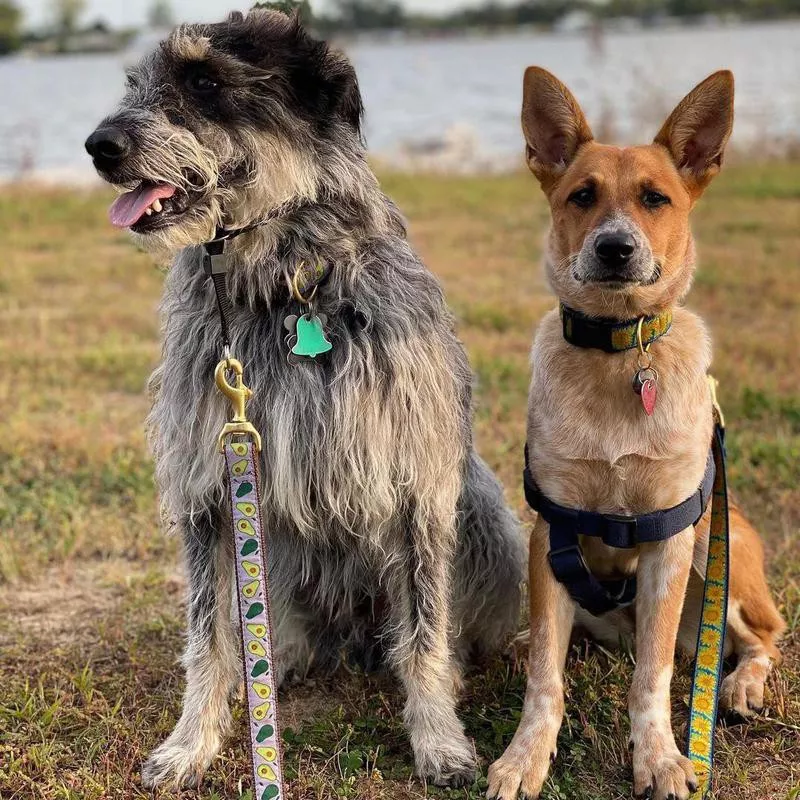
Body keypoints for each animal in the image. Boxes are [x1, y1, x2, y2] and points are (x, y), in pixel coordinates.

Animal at [86, 6, 524, 792]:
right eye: (137, 83)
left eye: (205, 82)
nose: (99, 146)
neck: (283, 286)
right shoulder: (211, 489)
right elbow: (208, 636)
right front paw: (190, 744)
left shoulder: (415, 482)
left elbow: (423, 632)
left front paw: (439, 739)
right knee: (267, 628)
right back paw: (278, 661)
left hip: (485, 514)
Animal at [488, 70, 788, 800]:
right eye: (582, 196)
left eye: (656, 199)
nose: (615, 248)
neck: (622, 354)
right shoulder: (552, 533)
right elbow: (546, 676)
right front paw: (525, 755)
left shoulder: (670, 541)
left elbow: (650, 676)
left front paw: (659, 756)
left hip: (720, 548)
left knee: (764, 635)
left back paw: (741, 685)